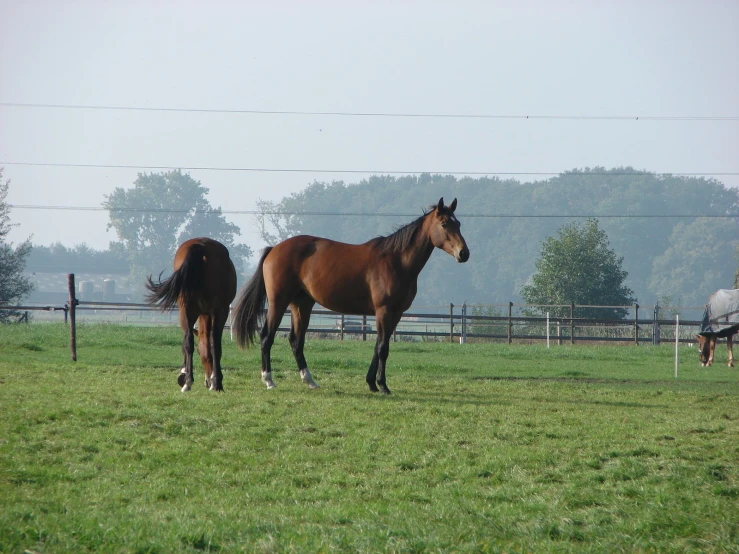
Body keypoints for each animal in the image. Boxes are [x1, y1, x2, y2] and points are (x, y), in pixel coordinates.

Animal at [145, 235, 237, 390]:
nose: (207, 381)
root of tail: (201, 245)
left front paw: (183, 374)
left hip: (189, 311)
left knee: (190, 340)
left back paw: (192, 381)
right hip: (215, 311)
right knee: (212, 342)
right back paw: (213, 382)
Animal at [234, 196, 472, 390]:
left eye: (459, 223)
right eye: (444, 224)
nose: (464, 253)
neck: (397, 261)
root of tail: (274, 249)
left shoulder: (395, 314)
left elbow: (378, 346)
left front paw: (372, 383)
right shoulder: (384, 311)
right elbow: (383, 347)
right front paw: (382, 385)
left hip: (301, 305)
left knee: (296, 341)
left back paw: (309, 380)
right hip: (278, 302)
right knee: (267, 336)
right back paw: (269, 380)